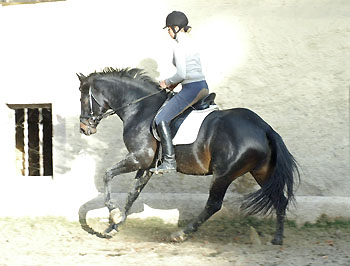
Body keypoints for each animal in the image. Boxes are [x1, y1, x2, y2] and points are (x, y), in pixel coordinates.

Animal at [78, 67, 300, 245]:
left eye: (82, 99)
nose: (84, 128)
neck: (139, 108)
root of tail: (264, 127)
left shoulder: (139, 157)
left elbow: (107, 175)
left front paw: (114, 214)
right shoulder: (146, 165)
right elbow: (133, 193)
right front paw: (113, 227)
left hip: (223, 174)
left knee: (213, 205)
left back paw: (181, 234)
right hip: (262, 173)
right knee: (280, 200)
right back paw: (278, 238)